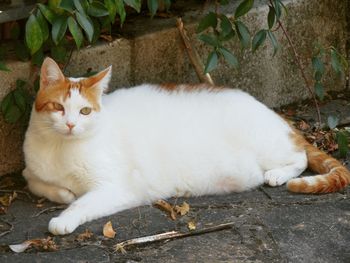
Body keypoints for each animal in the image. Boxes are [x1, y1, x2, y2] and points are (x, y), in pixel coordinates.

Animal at [23, 57, 348, 235]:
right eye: (58, 107)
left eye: (85, 111)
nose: (70, 125)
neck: (61, 149)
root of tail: (277, 115)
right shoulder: (32, 172)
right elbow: (40, 184)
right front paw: (64, 193)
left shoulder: (116, 188)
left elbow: (81, 203)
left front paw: (64, 219)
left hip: (269, 145)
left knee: (300, 157)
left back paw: (278, 175)